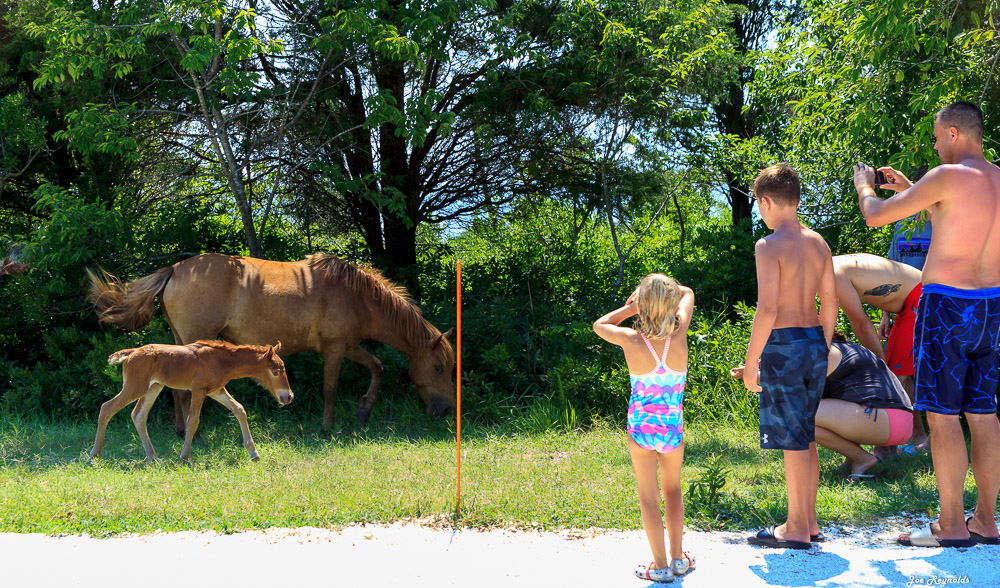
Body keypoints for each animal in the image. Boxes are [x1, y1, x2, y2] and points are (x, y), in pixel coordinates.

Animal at [86, 253, 454, 432]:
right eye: (438, 367)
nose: (447, 409)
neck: (356, 295)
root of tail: (175, 269)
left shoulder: (350, 346)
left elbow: (377, 367)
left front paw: (364, 410)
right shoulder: (335, 349)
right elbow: (330, 390)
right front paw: (327, 428)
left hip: (179, 343)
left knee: (176, 389)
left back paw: (181, 429)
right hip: (191, 342)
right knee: (184, 390)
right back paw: (192, 433)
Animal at [89, 340, 292, 464]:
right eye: (275, 371)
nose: (288, 397)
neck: (222, 361)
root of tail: (131, 353)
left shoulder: (216, 390)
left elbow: (239, 409)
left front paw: (254, 453)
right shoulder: (198, 390)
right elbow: (193, 421)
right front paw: (185, 456)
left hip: (153, 387)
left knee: (138, 415)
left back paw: (153, 458)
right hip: (135, 386)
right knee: (107, 408)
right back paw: (94, 455)